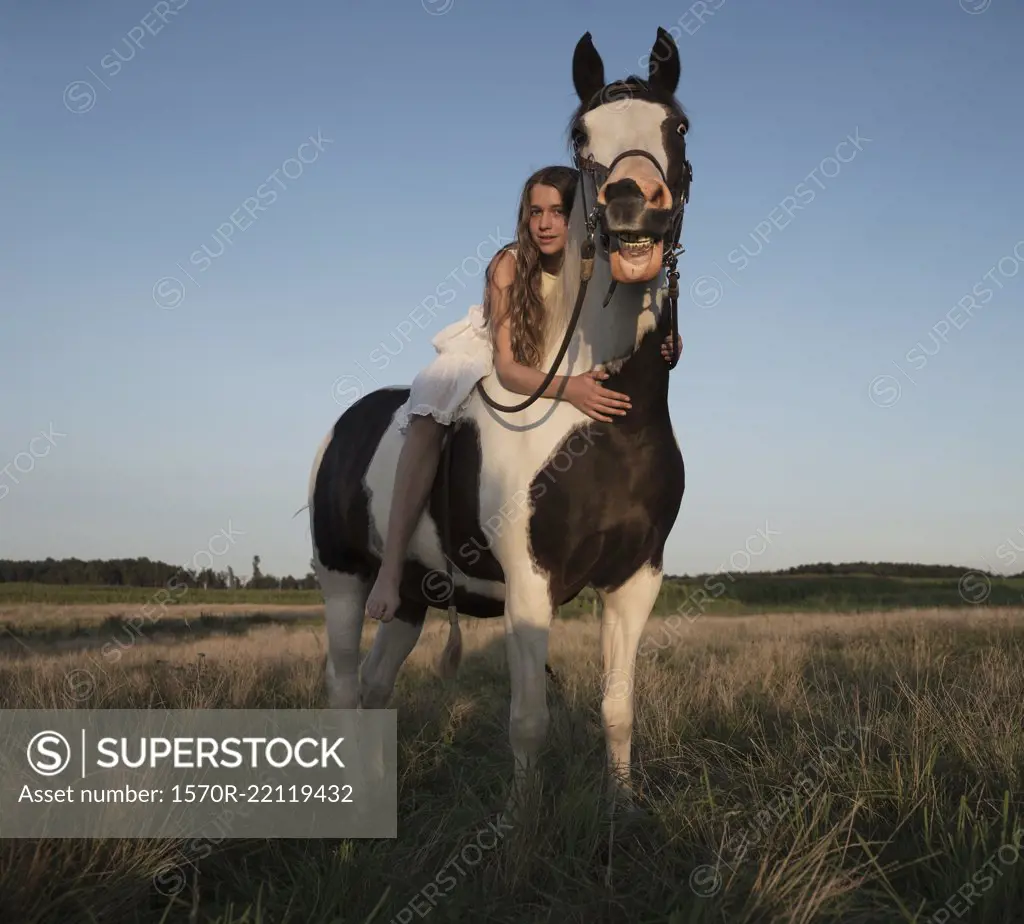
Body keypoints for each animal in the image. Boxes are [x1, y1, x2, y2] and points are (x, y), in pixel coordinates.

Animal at [311, 25, 692, 819]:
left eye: (677, 126)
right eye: (581, 135)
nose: (632, 204)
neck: (610, 426)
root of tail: (346, 423)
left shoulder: (635, 581)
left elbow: (618, 708)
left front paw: (623, 809)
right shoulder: (530, 585)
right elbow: (528, 721)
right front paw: (520, 826)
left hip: (409, 601)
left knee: (375, 686)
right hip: (343, 581)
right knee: (343, 687)